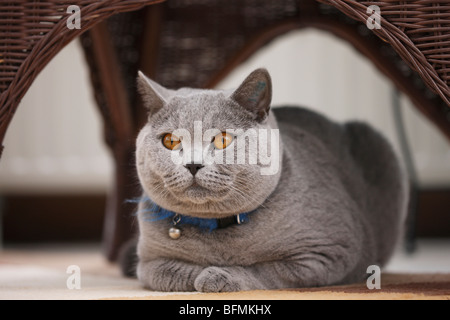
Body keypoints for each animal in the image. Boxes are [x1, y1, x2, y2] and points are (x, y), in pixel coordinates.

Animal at [134, 68, 408, 292]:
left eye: (222, 139)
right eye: (170, 141)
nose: (192, 164)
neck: (217, 227)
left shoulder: (328, 253)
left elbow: (268, 269)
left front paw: (219, 276)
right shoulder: (147, 263)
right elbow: (172, 272)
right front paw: (205, 274)